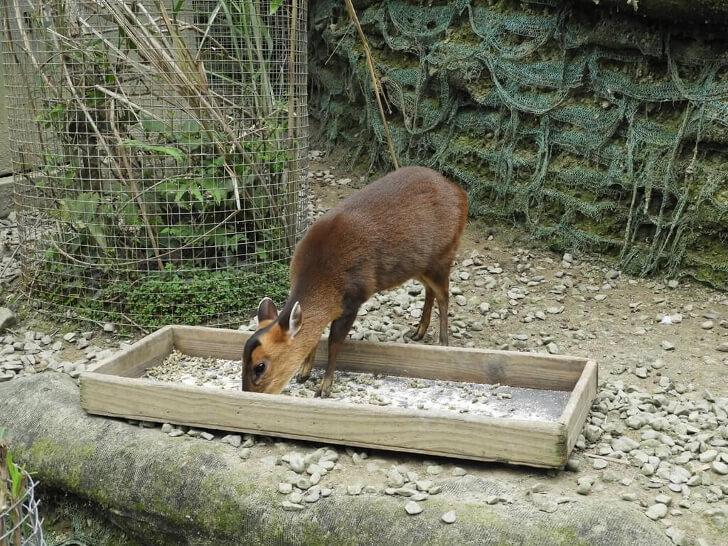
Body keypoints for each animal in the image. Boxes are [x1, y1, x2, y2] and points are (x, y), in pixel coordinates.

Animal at [242, 165, 470, 396]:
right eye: (242, 359)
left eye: (260, 366)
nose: (247, 394)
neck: (323, 277)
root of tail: (460, 192)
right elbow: (316, 335)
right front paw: (304, 373)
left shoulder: (353, 299)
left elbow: (333, 342)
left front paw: (324, 387)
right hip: (419, 265)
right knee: (430, 291)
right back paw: (418, 332)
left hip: (444, 254)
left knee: (444, 296)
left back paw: (443, 342)